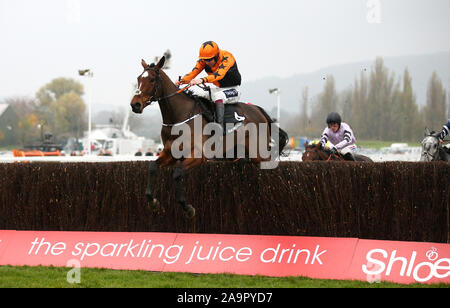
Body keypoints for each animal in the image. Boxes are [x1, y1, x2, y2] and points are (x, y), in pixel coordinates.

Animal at [130, 56, 288, 218]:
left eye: (152, 80)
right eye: (138, 78)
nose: (135, 104)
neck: (179, 117)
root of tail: (258, 110)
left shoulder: (198, 155)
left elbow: (177, 173)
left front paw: (188, 207)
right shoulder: (170, 152)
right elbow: (152, 167)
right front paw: (153, 202)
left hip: (259, 154)